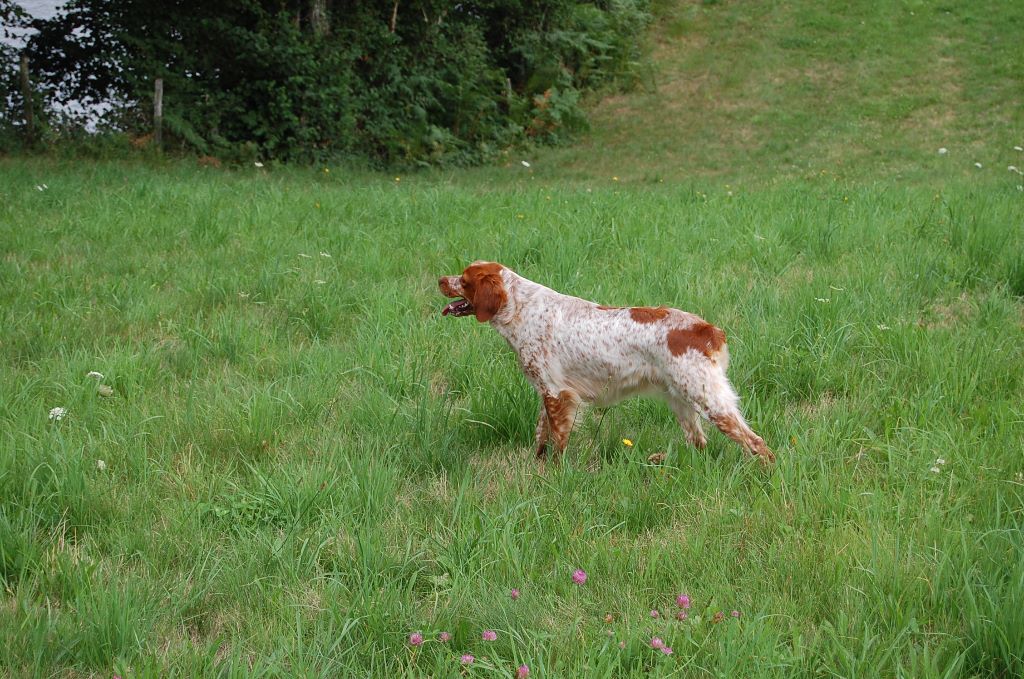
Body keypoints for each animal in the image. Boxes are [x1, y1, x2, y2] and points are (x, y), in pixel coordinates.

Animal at [438, 259, 774, 462]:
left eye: (463, 280)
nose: (441, 279)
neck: (522, 308)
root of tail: (708, 330)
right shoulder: (546, 392)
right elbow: (541, 436)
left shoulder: (557, 394)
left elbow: (557, 441)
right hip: (681, 399)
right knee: (699, 444)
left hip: (707, 398)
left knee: (757, 443)